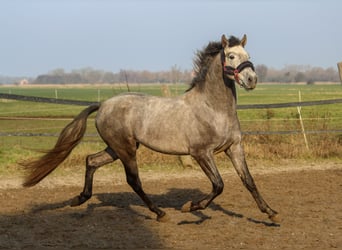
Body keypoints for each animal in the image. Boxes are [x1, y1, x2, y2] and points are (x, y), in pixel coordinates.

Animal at [20, 33, 278, 223]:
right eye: (232, 56)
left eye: (249, 55)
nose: (252, 80)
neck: (213, 108)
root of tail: (104, 104)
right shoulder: (201, 153)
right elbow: (218, 185)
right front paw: (190, 207)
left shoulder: (234, 147)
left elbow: (248, 180)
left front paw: (270, 213)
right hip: (125, 149)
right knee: (133, 180)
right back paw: (159, 213)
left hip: (117, 148)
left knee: (91, 160)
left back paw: (80, 199)